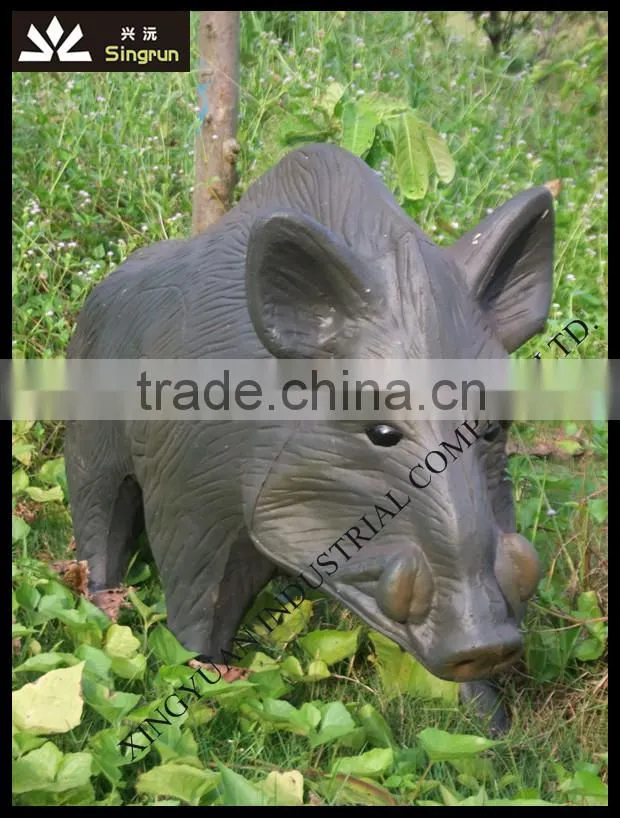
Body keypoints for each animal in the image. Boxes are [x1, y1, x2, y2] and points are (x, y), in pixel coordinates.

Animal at [64, 143, 554, 733]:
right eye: (380, 431)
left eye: (493, 427)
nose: (485, 643)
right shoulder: (186, 490)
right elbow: (196, 598)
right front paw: (198, 696)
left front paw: (494, 730)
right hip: (89, 441)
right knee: (97, 518)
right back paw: (101, 607)